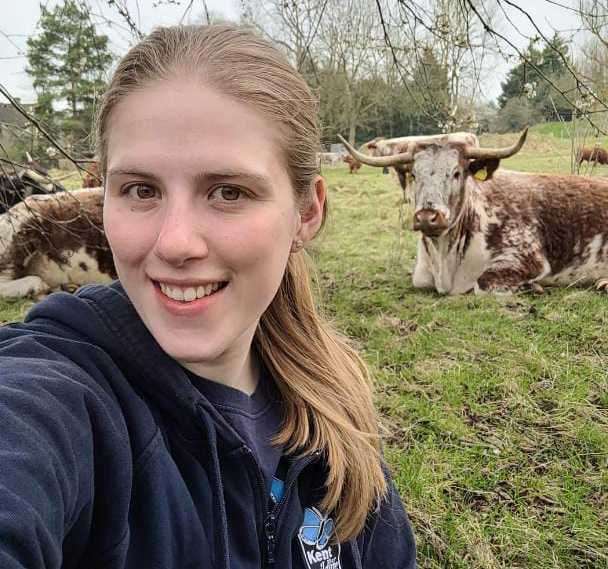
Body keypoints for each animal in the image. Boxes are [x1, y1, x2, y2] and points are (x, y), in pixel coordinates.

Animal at [340, 129, 608, 296]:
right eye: (414, 174)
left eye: (457, 172)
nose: (427, 217)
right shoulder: (422, 275)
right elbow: (419, 281)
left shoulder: (528, 258)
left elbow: (483, 283)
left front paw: (533, 288)